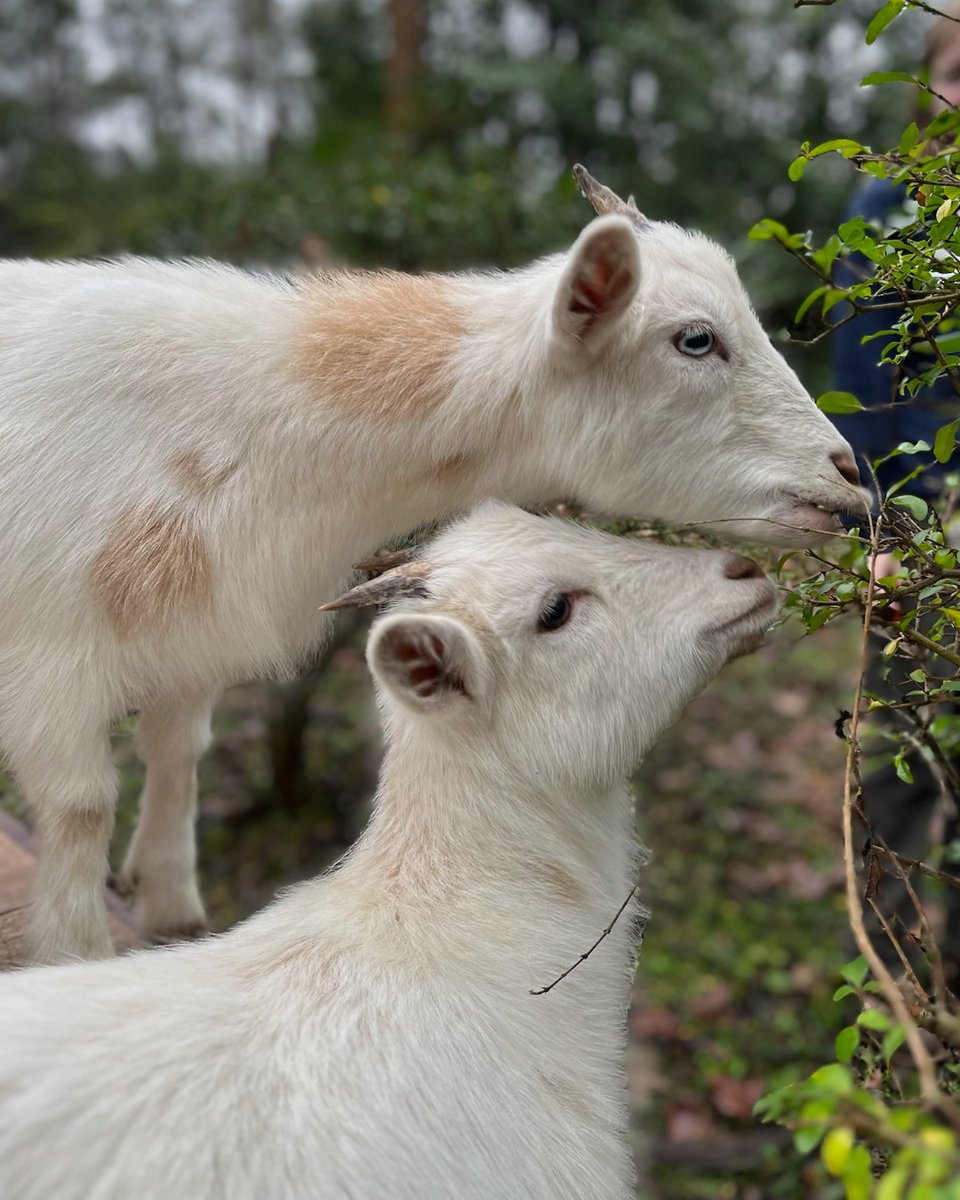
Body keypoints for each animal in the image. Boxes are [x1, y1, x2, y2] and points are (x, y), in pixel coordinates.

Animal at [0, 168, 863, 963]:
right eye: (695, 339)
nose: (849, 475)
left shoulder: (193, 632)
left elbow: (179, 750)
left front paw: (169, 906)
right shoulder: (51, 662)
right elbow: (80, 809)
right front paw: (75, 956)